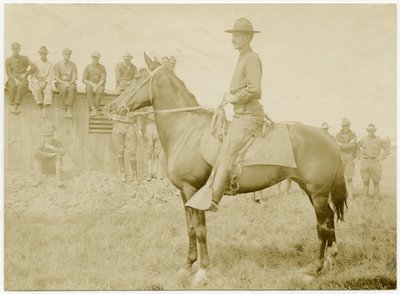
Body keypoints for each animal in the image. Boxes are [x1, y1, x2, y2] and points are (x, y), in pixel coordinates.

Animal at [104, 54, 346, 286]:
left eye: (137, 78)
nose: (113, 106)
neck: (187, 129)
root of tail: (330, 139)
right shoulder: (184, 193)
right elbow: (190, 229)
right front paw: (186, 266)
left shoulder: (193, 190)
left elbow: (200, 230)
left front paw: (202, 271)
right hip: (311, 190)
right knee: (330, 218)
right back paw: (331, 260)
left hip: (317, 192)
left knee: (322, 226)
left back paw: (316, 269)